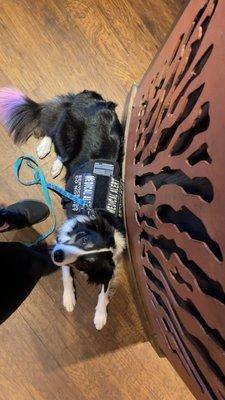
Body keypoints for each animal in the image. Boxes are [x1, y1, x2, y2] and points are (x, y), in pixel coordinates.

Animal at [0, 89, 125, 330]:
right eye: (83, 238)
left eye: (85, 262)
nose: (56, 254)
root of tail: (88, 97)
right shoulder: (62, 239)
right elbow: (66, 275)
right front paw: (69, 299)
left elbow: (104, 290)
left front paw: (100, 315)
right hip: (69, 134)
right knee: (53, 132)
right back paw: (46, 150)